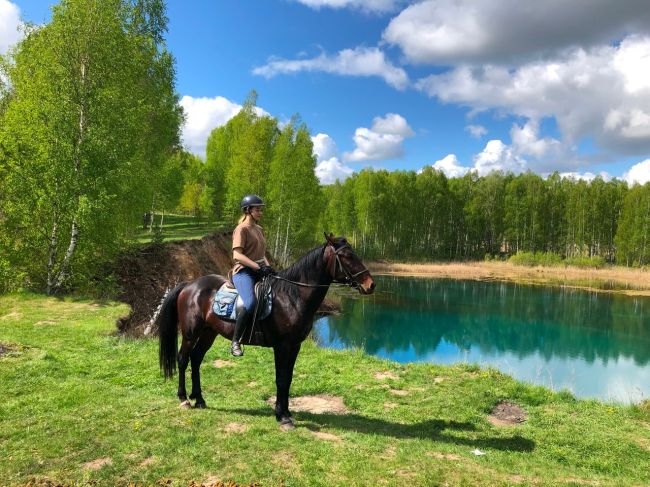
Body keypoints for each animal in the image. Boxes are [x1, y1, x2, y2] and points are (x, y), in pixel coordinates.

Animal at [155, 233, 374, 428]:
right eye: (346, 256)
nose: (370, 285)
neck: (292, 296)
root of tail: (189, 285)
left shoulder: (294, 346)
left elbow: (288, 378)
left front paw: (286, 412)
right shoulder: (282, 346)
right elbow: (281, 379)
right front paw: (282, 417)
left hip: (209, 332)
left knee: (196, 359)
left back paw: (199, 399)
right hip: (190, 333)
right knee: (183, 359)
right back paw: (184, 399)